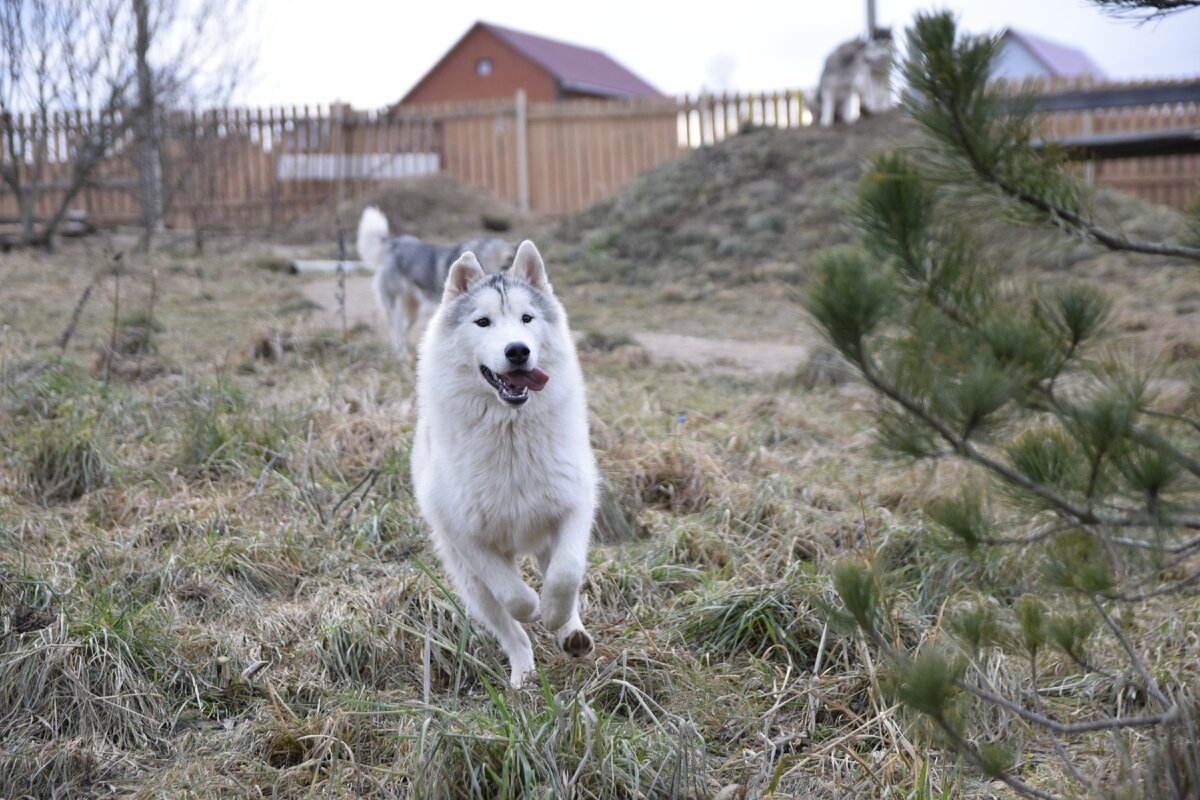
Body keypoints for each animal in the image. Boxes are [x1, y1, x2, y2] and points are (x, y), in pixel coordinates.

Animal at [412, 239, 600, 690]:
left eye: (527, 318)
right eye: (483, 322)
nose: (517, 350)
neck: (510, 433)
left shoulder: (576, 504)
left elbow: (567, 573)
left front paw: (554, 615)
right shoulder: (467, 536)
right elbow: (512, 595)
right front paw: (532, 608)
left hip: (544, 542)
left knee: (560, 577)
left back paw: (571, 632)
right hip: (470, 585)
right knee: (507, 627)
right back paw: (523, 674)